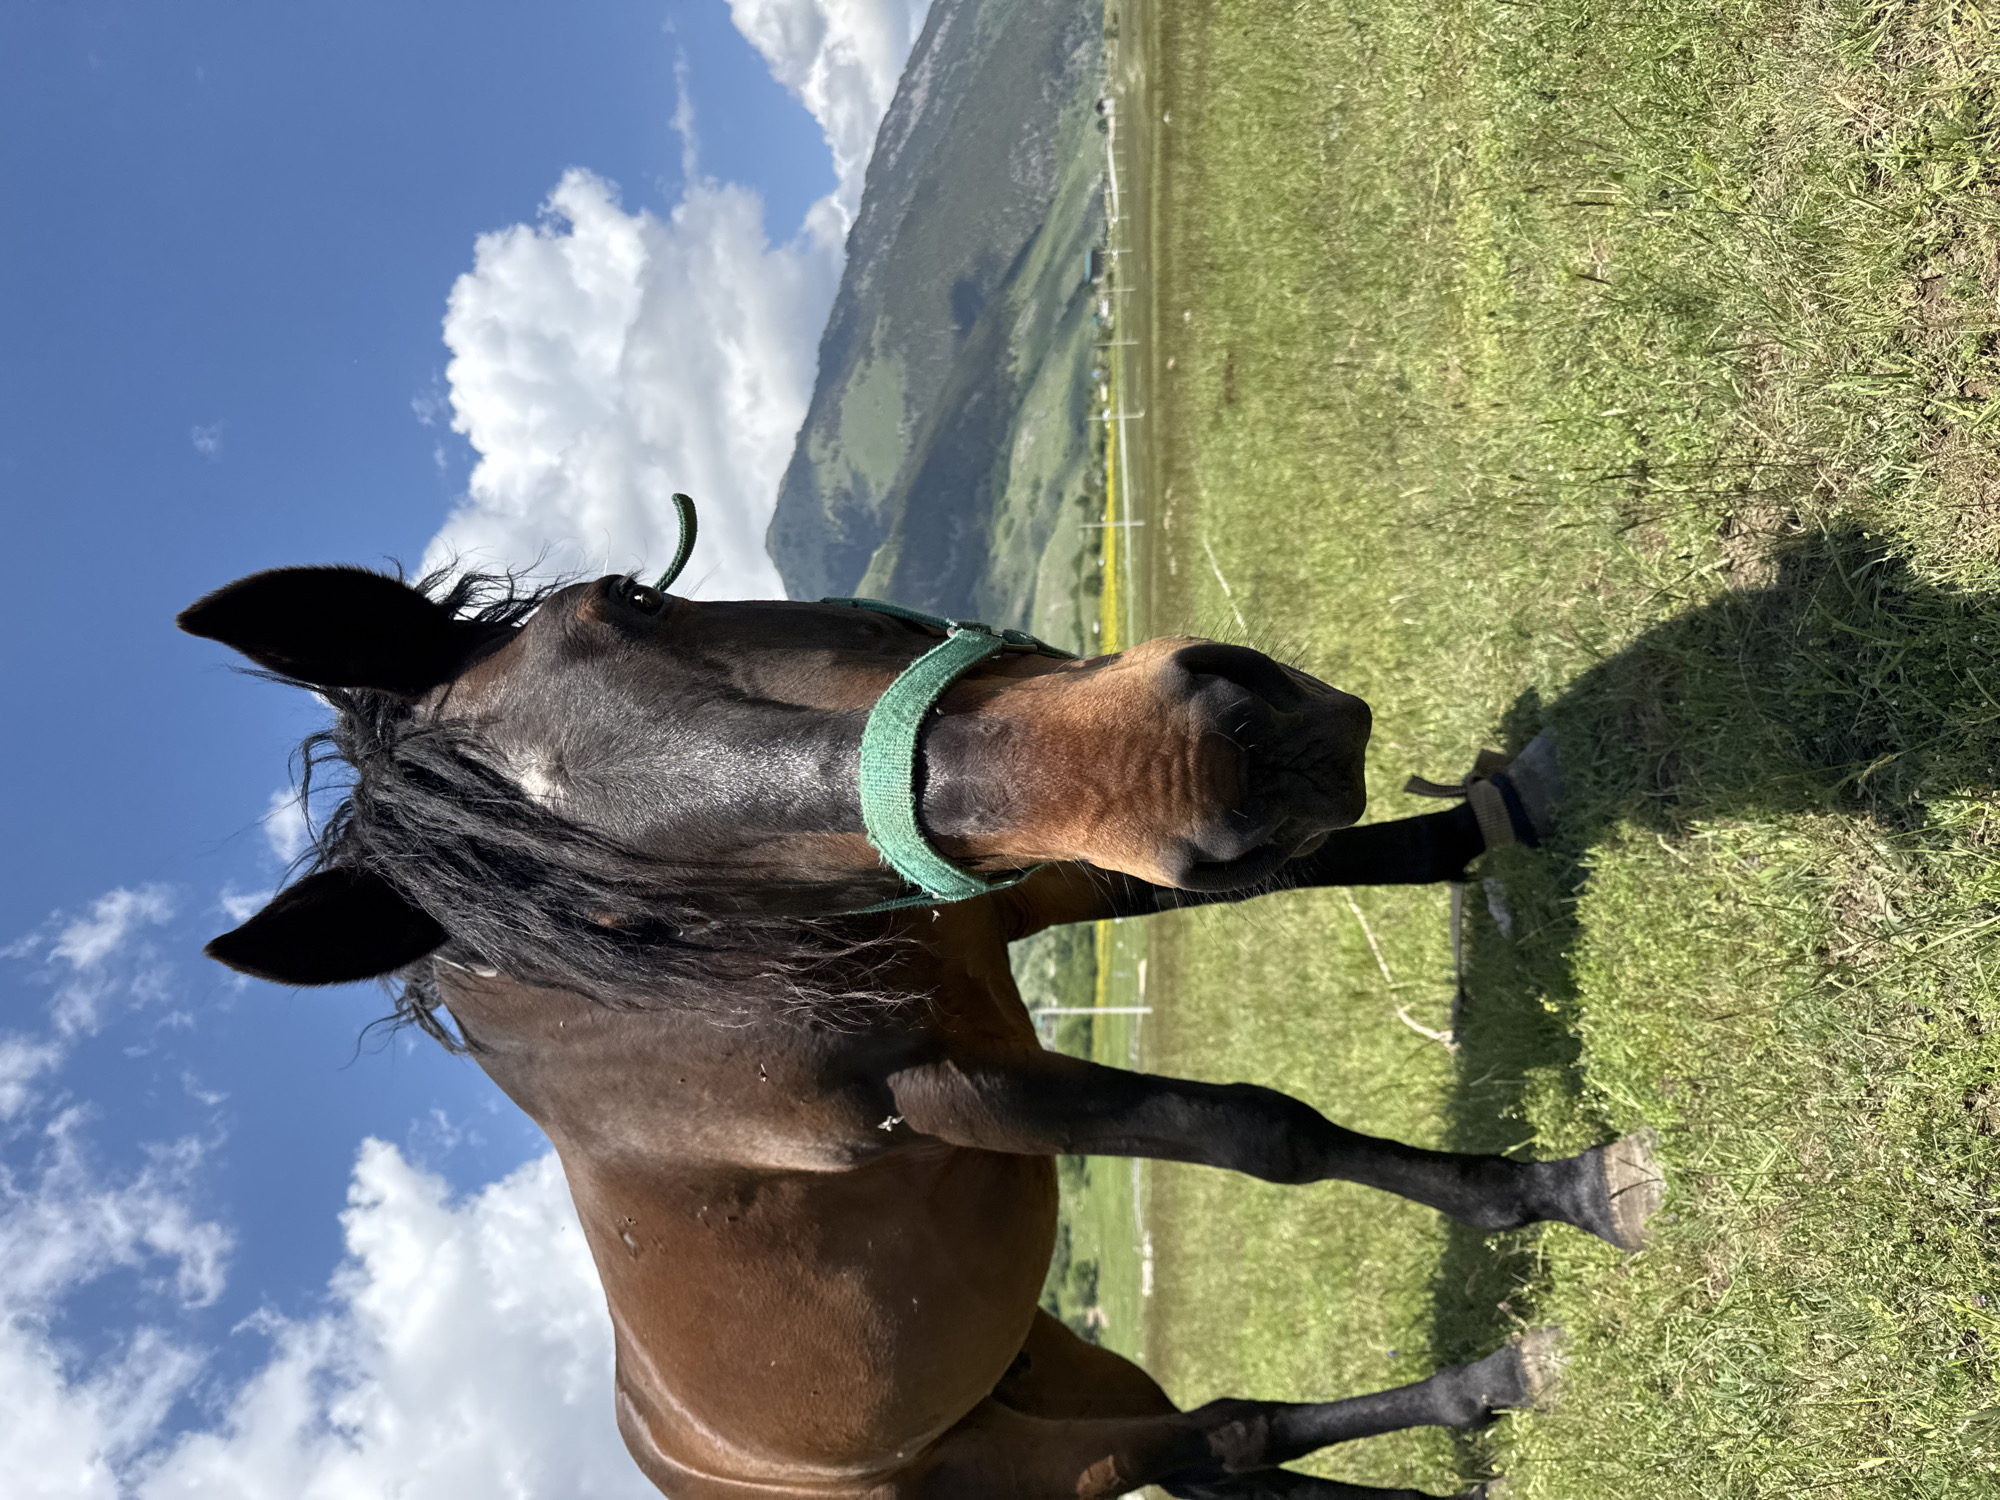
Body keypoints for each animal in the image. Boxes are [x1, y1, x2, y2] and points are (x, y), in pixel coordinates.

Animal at [180, 533, 1661, 1500]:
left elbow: (1314, 865)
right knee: (1219, 1440)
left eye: (632, 600)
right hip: (1046, 1461)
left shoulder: (1032, 864)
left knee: (1235, 1461)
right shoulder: (961, 1092)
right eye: (617, 924)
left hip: (1050, 1368)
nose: (1221, 752)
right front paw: (1563, 1186)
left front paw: (1491, 813)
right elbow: (1260, 1132)